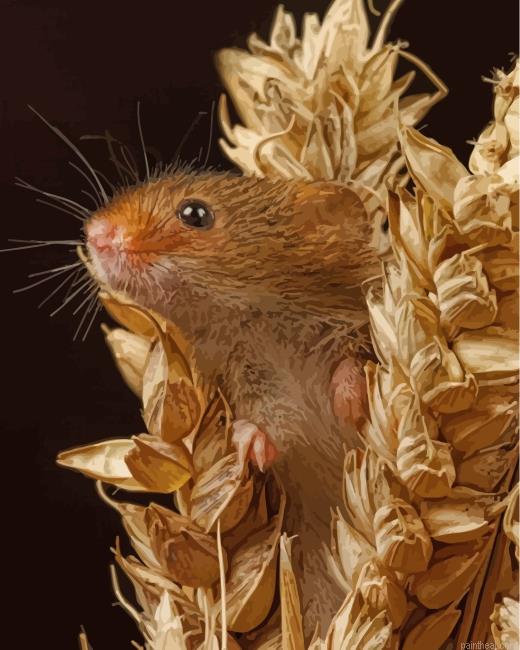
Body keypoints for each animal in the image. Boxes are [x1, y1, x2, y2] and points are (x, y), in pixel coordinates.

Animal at [85, 167, 382, 636]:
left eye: (195, 213)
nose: (93, 232)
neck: (260, 323)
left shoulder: (356, 324)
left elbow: (356, 361)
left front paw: (350, 400)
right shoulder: (252, 384)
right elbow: (264, 426)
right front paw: (244, 447)